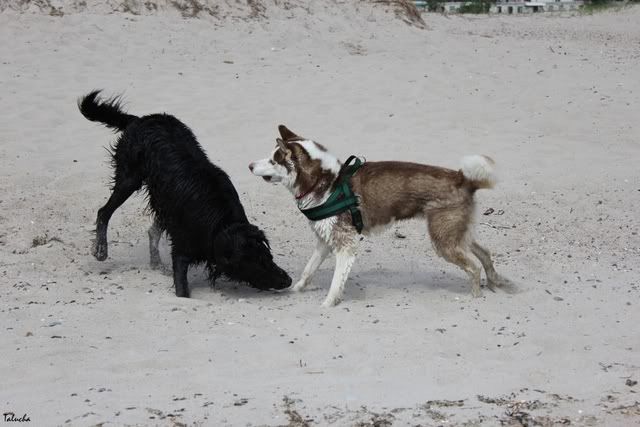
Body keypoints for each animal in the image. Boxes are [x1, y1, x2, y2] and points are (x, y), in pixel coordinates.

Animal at [78, 91, 291, 297]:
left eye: (269, 256)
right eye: (254, 264)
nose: (287, 280)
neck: (220, 225)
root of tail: (140, 120)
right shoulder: (181, 251)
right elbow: (182, 290)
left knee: (152, 229)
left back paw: (156, 263)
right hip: (129, 177)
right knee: (104, 212)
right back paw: (101, 249)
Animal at [249, 125, 507, 306]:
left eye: (273, 160)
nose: (250, 165)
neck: (328, 182)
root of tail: (463, 179)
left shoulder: (346, 246)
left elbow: (335, 284)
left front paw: (327, 306)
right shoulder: (324, 242)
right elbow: (307, 271)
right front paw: (293, 292)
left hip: (444, 241)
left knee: (474, 267)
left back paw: (474, 298)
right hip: (455, 234)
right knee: (485, 254)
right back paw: (496, 284)